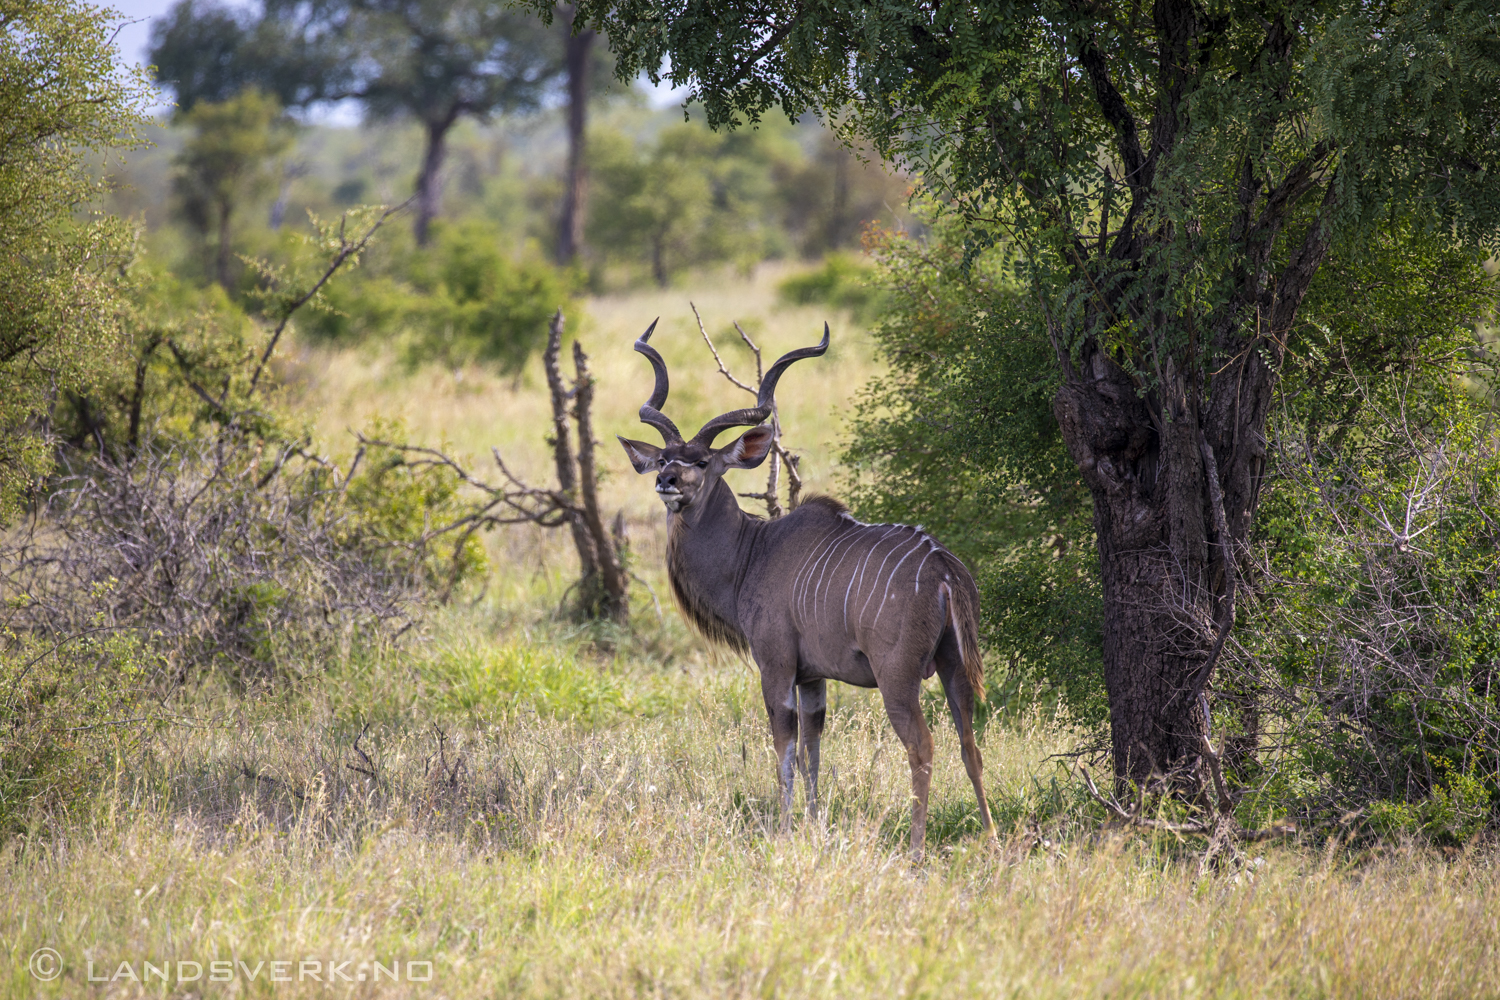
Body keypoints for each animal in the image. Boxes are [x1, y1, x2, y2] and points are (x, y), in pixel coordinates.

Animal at [621, 320, 996, 851]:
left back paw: (917, 849)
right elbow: (812, 752)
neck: (753, 551)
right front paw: (815, 825)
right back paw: (994, 839)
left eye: (703, 462)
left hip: (898, 676)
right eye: (665, 459)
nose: (668, 482)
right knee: (970, 744)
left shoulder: (776, 666)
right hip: (954, 666)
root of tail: (943, 568)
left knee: (923, 747)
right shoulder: (814, 678)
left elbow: (784, 750)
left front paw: (783, 830)